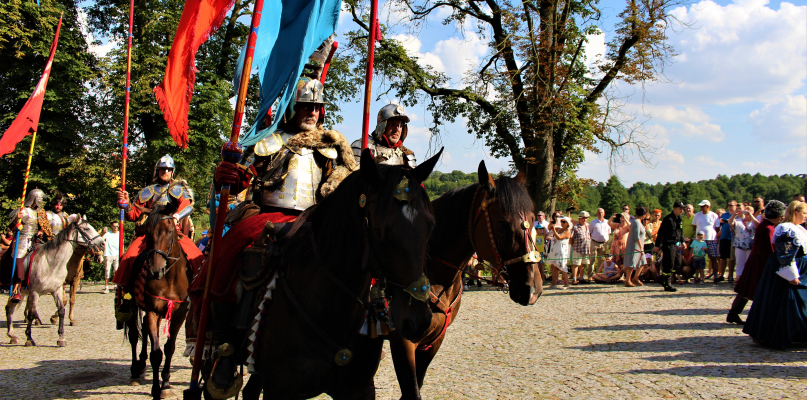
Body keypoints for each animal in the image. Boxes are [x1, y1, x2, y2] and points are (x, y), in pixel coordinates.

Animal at [3, 216, 104, 346]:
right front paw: (29, 338)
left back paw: (12, 336)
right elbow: (32, 313)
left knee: (9, 309)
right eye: (87, 228)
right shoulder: (35, 292)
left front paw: (61, 337)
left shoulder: (59, 288)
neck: (50, 262)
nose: (102, 244)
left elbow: (63, 308)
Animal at [126, 192, 196, 398]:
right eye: (147, 233)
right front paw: (156, 388)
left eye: (170, 230)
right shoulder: (152, 310)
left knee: (145, 332)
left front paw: (165, 383)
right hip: (132, 303)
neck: (170, 277)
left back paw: (141, 364)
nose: (156, 270)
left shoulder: (180, 314)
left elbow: (169, 348)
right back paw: (135, 371)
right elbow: (156, 352)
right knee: (135, 335)